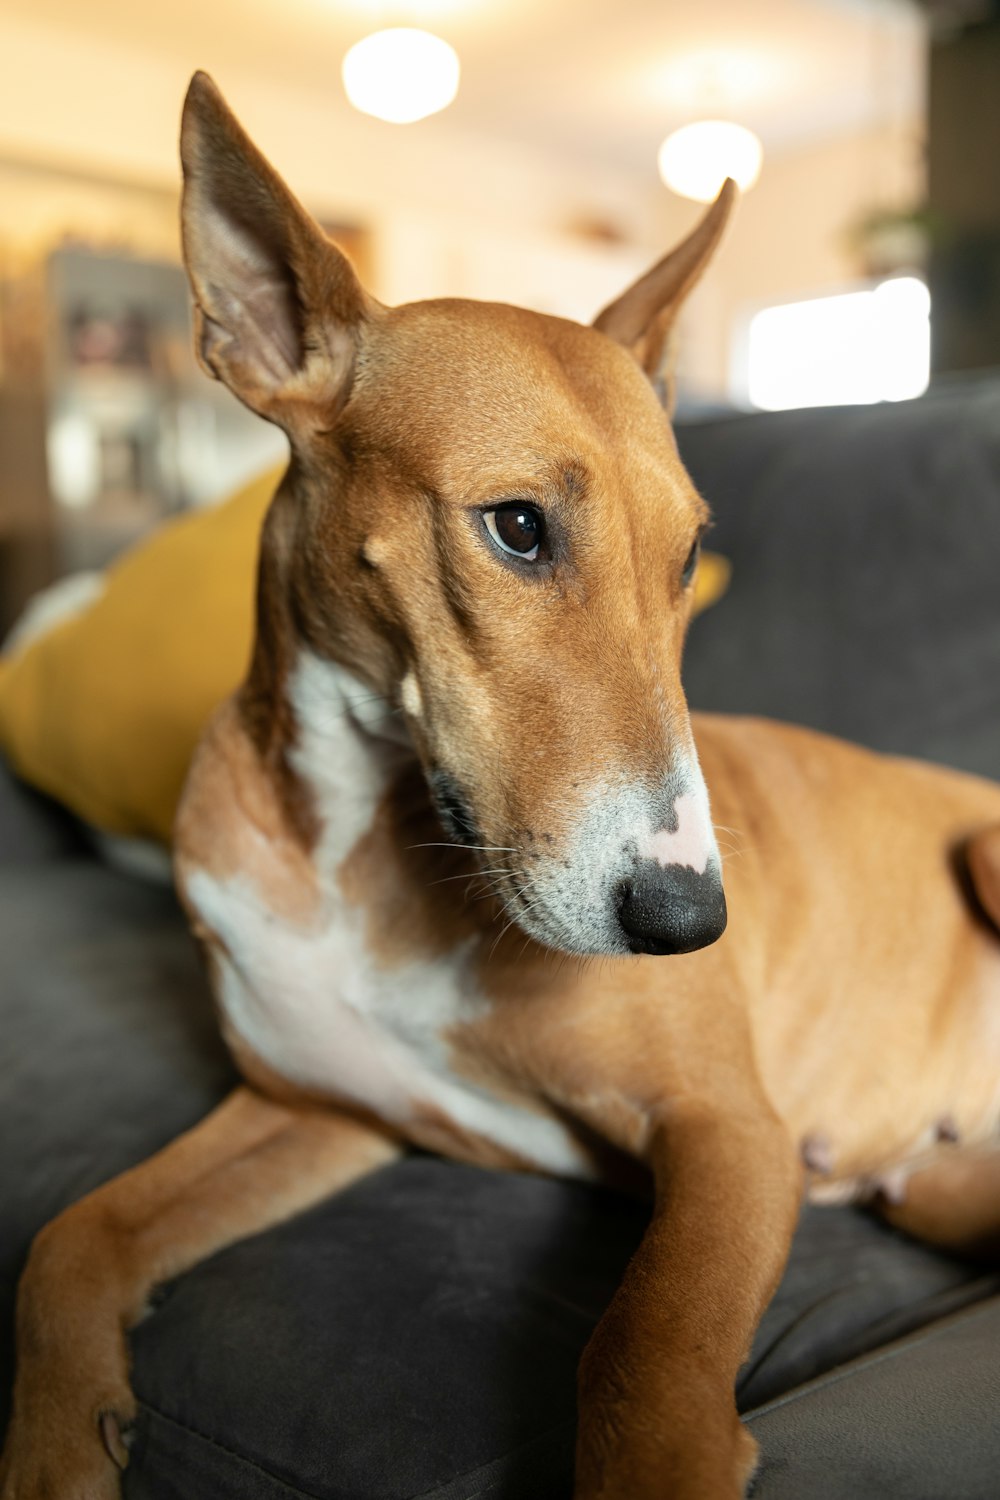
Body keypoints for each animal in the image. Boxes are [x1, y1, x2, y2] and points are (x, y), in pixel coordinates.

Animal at [5, 73, 1000, 1500]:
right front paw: (53, 1446)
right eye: (517, 527)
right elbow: (72, 1238)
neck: (355, 848)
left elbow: (641, 1373)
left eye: (688, 557)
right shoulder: (317, 1110)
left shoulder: (729, 1134)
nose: (690, 924)